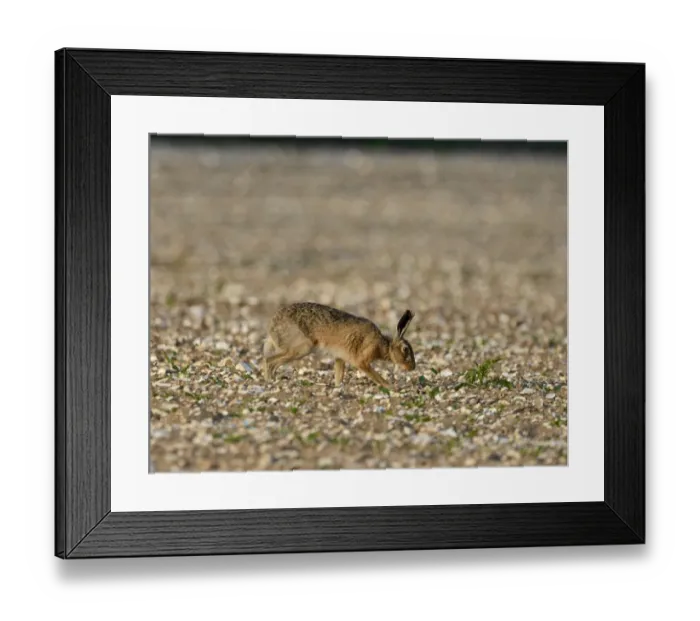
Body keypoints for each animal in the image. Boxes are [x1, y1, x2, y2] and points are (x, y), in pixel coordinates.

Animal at [262, 302, 416, 389]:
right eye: (405, 349)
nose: (412, 368)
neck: (384, 345)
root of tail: (271, 328)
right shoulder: (362, 361)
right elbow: (375, 376)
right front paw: (391, 387)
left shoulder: (340, 358)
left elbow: (339, 375)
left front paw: (338, 387)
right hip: (301, 348)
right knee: (269, 361)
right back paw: (270, 381)